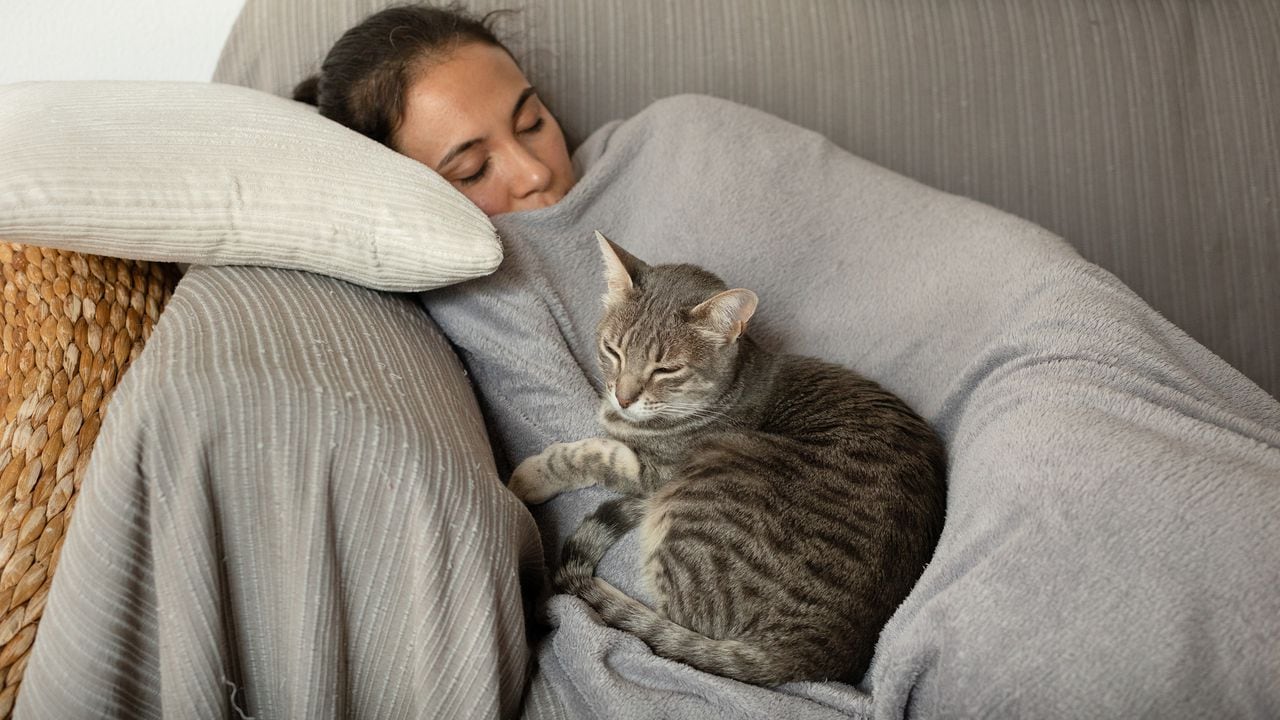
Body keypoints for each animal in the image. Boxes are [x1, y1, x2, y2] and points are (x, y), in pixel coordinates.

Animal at [504, 230, 947, 681]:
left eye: (666, 370)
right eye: (612, 350)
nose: (623, 397)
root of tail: (809, 657)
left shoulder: (656, 472)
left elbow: (595, 453)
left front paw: (530, 477)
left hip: (701, 489)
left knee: (667, 626)